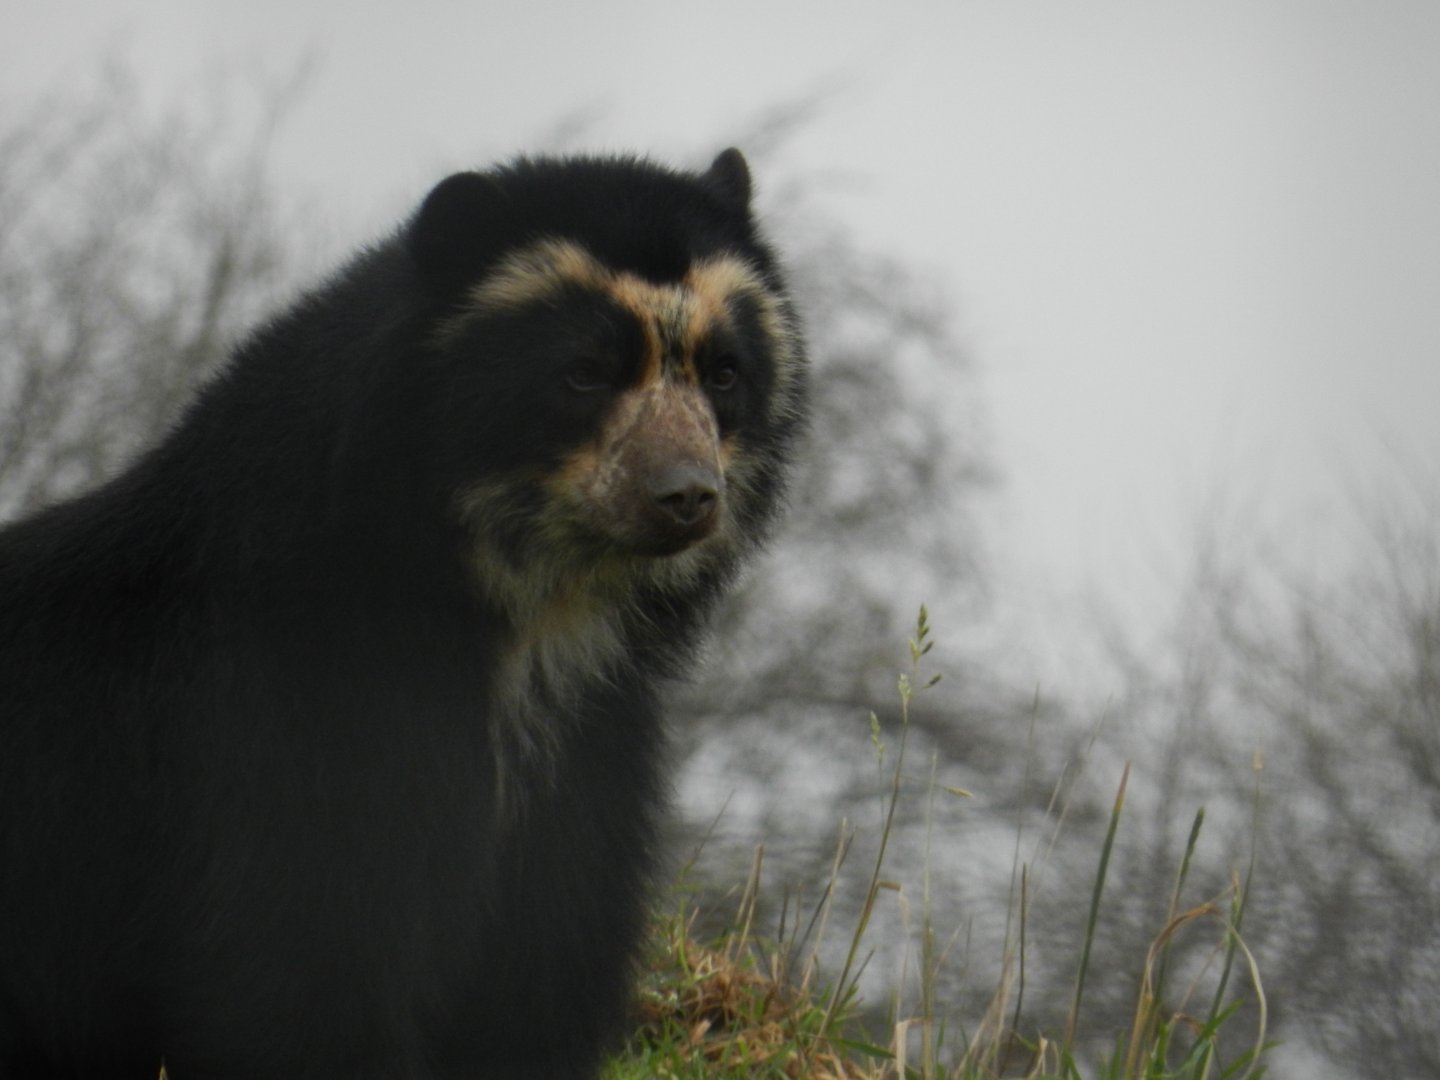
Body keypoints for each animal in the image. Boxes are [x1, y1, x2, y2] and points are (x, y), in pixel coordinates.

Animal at [0, 148, 807, 1079]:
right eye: (583, 371)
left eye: (723, 372)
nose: (686, 497)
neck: (526, 619)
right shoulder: (293, 735)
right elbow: (302, 975)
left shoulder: (583, 762)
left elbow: (538, 974)